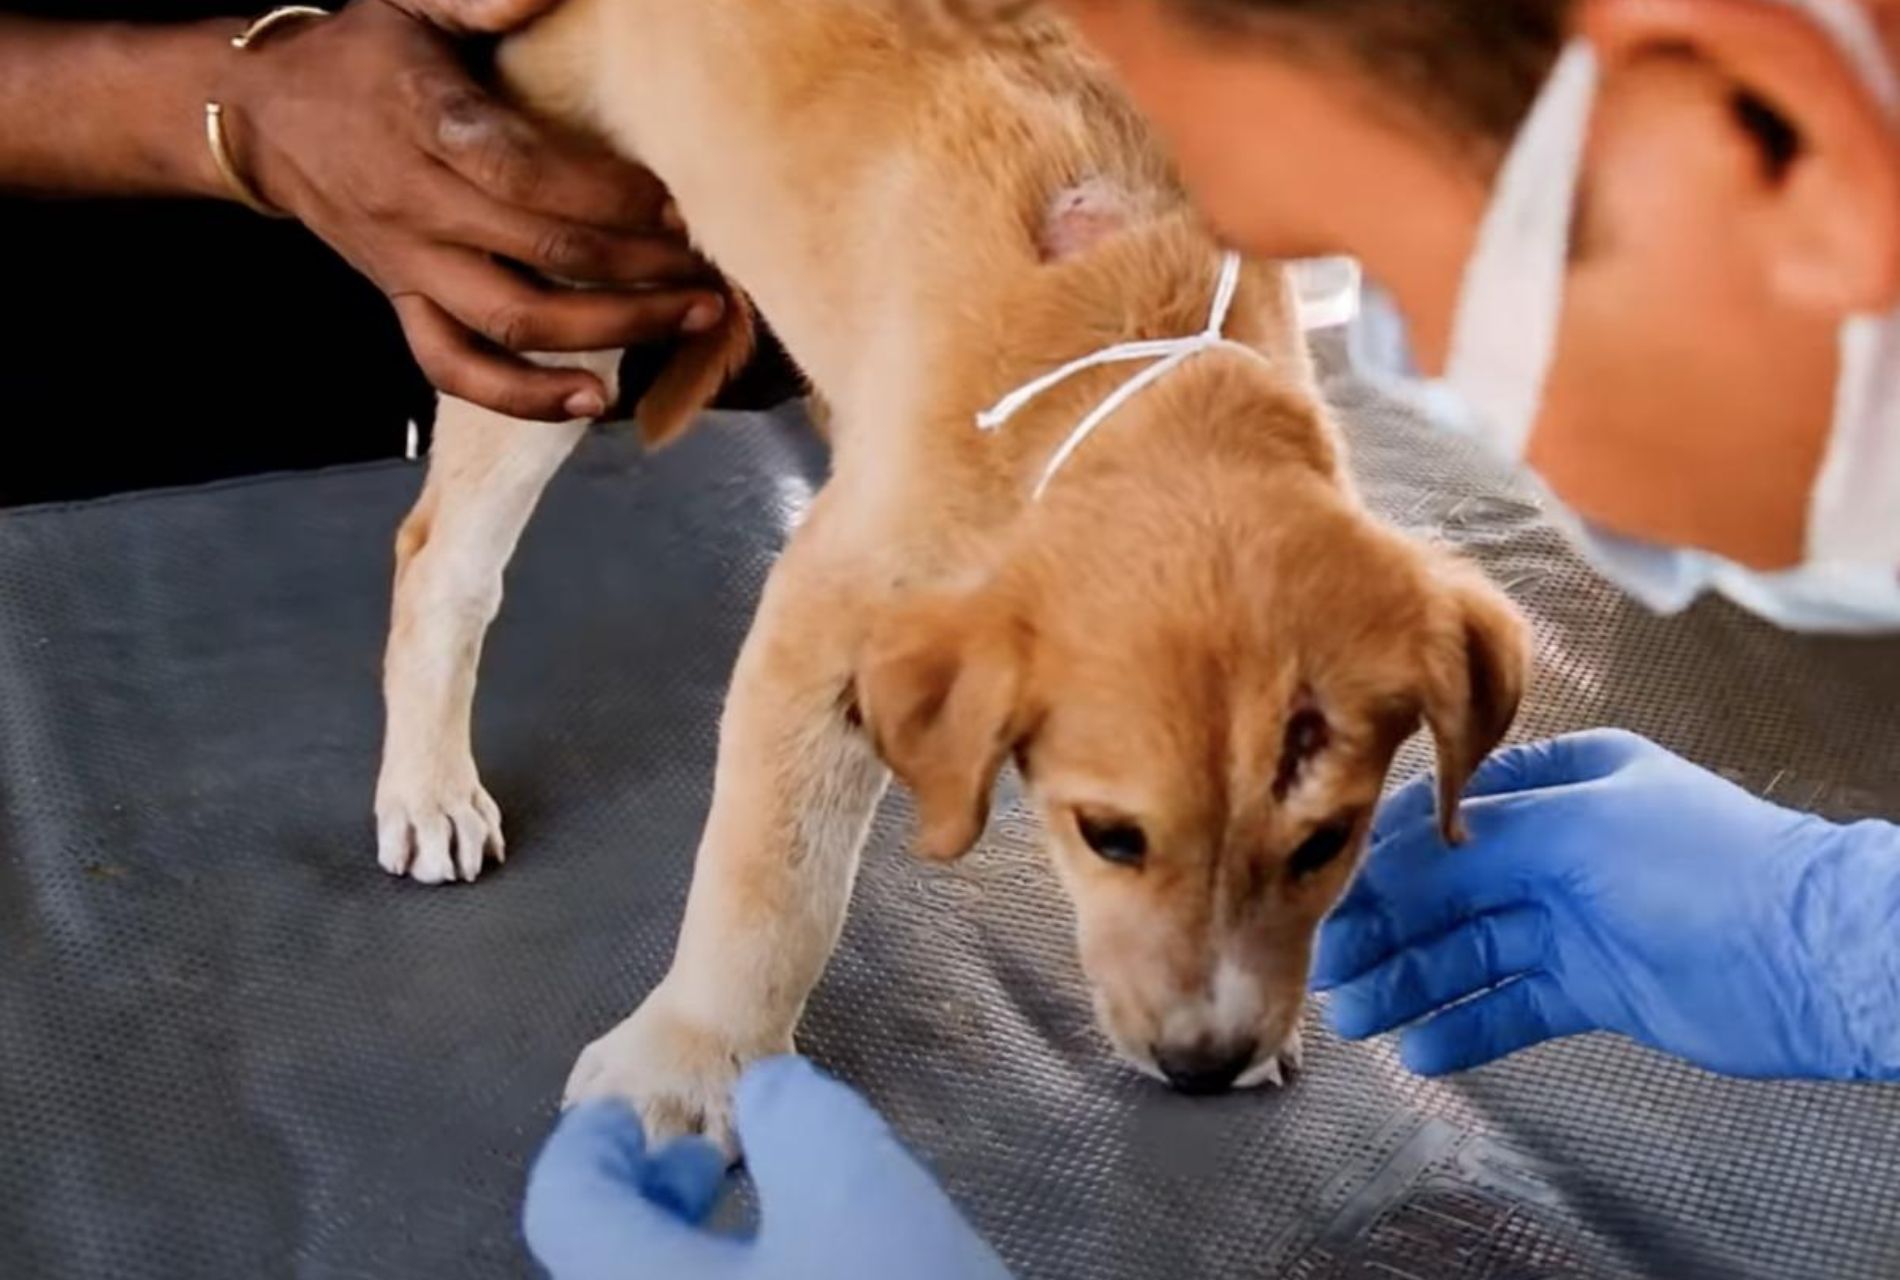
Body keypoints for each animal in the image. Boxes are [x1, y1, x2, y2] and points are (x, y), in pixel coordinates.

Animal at [370, 2, 1527, 1139]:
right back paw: (429, 783)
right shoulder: (822, 624)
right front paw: (691, 1060)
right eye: (1110, 837)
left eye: (1325, 844)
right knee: (444, 556)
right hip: (547, 301)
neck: (1145, 365)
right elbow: (771, 879)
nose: (1205, 1065)